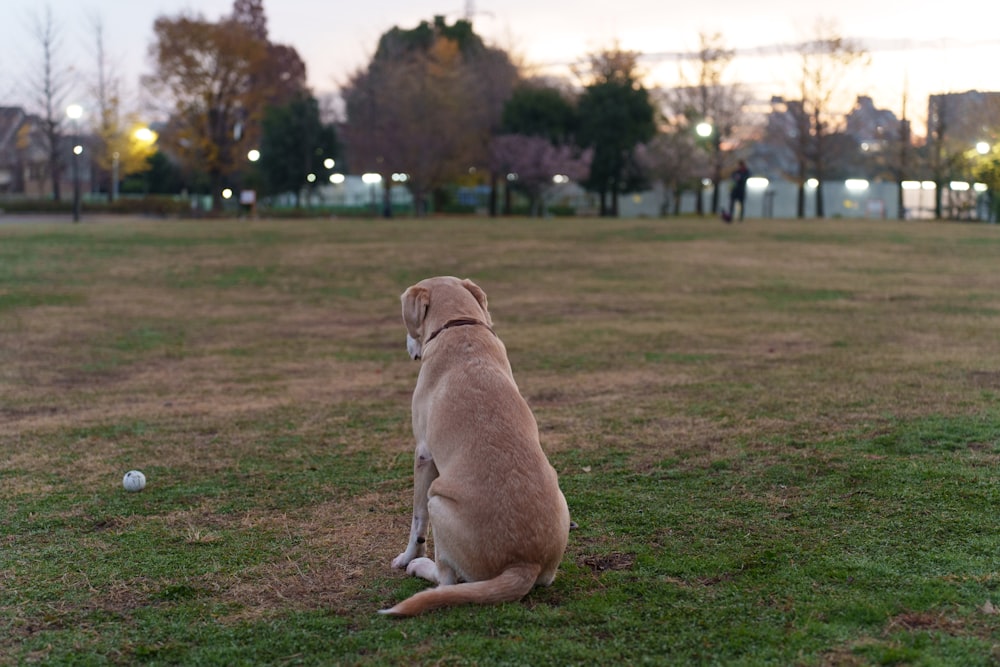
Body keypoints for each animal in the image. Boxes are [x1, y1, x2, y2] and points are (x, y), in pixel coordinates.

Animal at [378, 276, 572, 616]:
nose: (407, 347)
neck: (460, 325)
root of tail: (524, 564)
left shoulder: (423, 454)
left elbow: (416, 522)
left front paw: (405, 558)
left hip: (438, 502)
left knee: (447, 581)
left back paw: (421, 567)